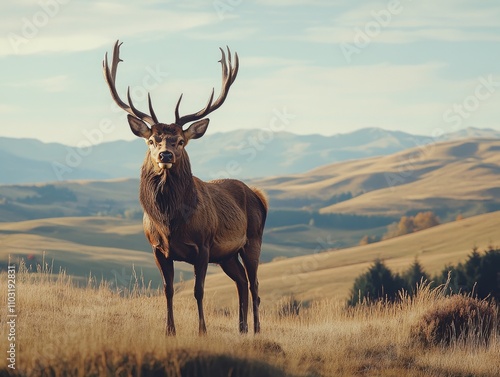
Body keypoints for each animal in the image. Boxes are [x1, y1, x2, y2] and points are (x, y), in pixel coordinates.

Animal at [100, 41, 266, 334]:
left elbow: (199, 291)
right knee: (241, 282)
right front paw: (169, 330)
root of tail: (258, 196)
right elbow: (168, 290)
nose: (165, 155)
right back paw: (242, 328)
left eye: (180, 141)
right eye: (152, 140)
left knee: (255, 284)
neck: (170, 222)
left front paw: (202, 330)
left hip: (253, 239)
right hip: (227, 256)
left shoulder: (204, 245)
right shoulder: (158, 249)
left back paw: (256, 330)